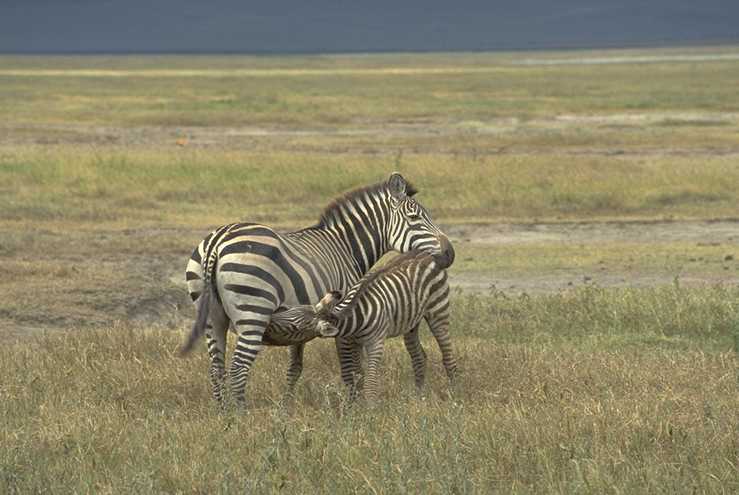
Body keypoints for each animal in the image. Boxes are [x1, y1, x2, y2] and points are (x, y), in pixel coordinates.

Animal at [270, 250, 457, 404]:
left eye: (296, 326)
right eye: (291, 310)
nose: (270, 319)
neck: (354, 318)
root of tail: (430, 254)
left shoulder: (375, 343)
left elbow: (370, 381)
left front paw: (370, 411)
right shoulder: (353, 342)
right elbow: (357, 374)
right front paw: (354, 406)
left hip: (438, 311)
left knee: (448, 355)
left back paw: (454, 394)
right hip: (411, 320)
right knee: (418, 356)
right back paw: (418, 397)